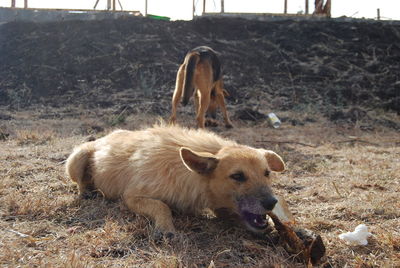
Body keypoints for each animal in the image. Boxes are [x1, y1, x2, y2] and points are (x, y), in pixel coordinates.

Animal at [65, 124, 284, 237]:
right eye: (237, 176)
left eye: (267, 173)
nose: (272, 203)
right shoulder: (132, 197)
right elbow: (162, 206)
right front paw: (165, 228)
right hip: (76, 159)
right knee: (81, 183)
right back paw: (87, 192)